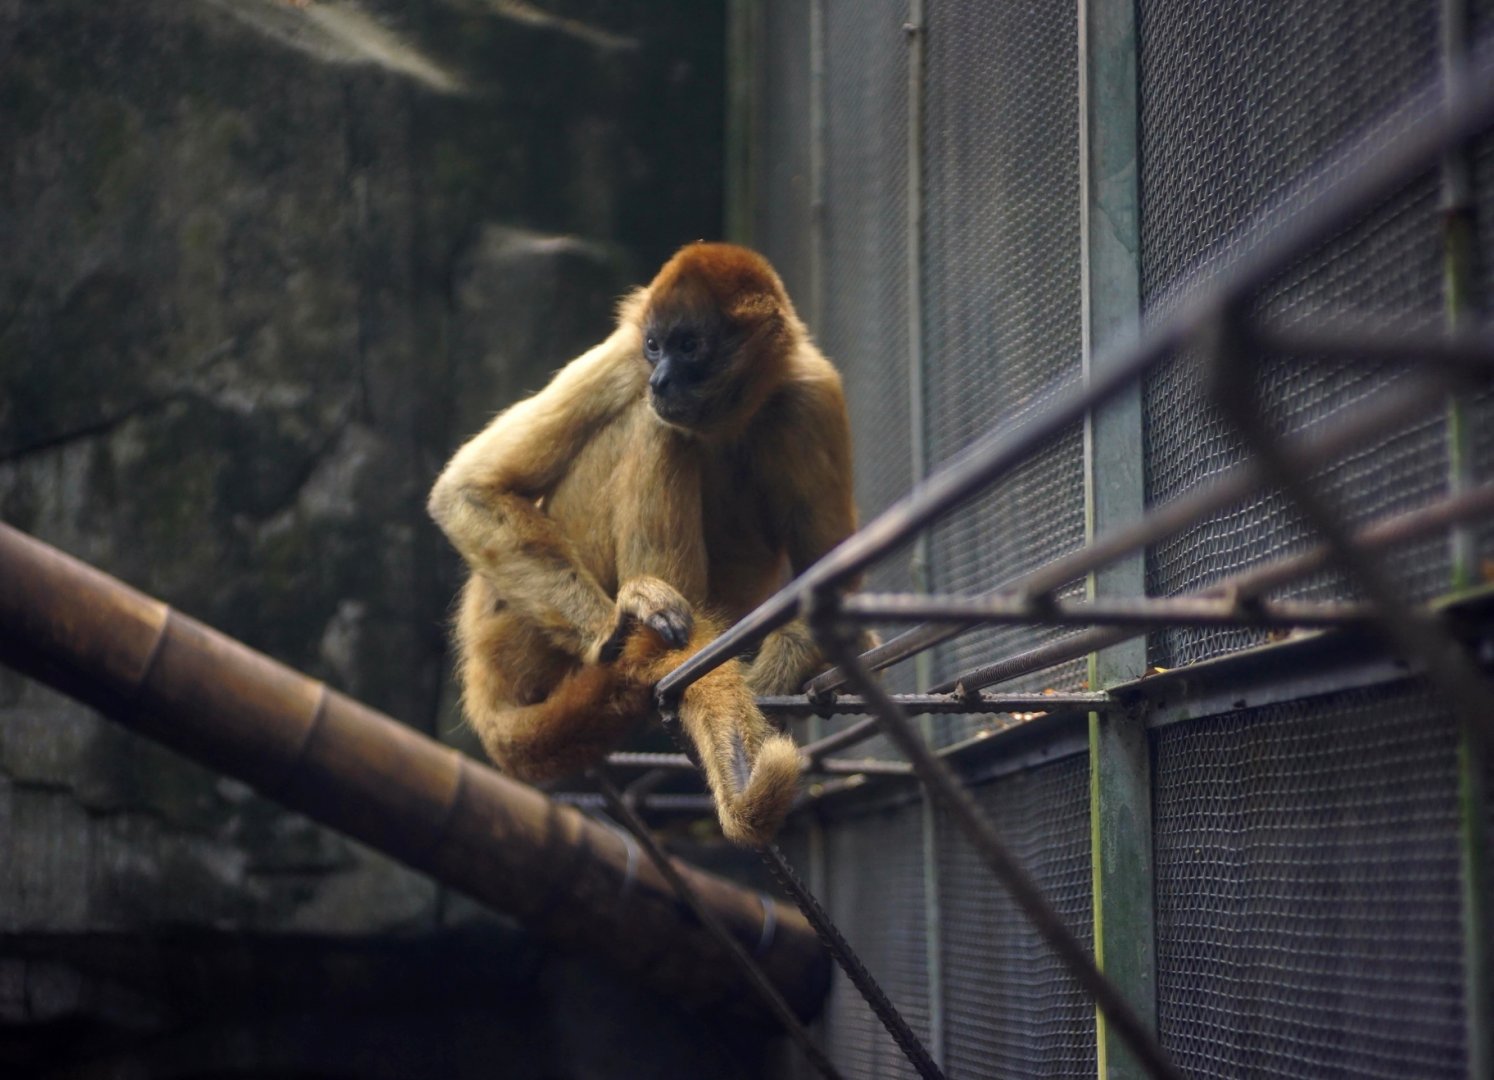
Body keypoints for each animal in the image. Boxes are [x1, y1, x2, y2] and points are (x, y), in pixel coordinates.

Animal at [427, 242, 864, 847]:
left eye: (689, 346)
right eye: (654, 345)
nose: (660, 379)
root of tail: (481, 679)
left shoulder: (812, 390)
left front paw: (789, 660)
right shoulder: (623, 357)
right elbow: (465, 490)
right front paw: (620, 631)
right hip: (512, 634)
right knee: (649, 424)